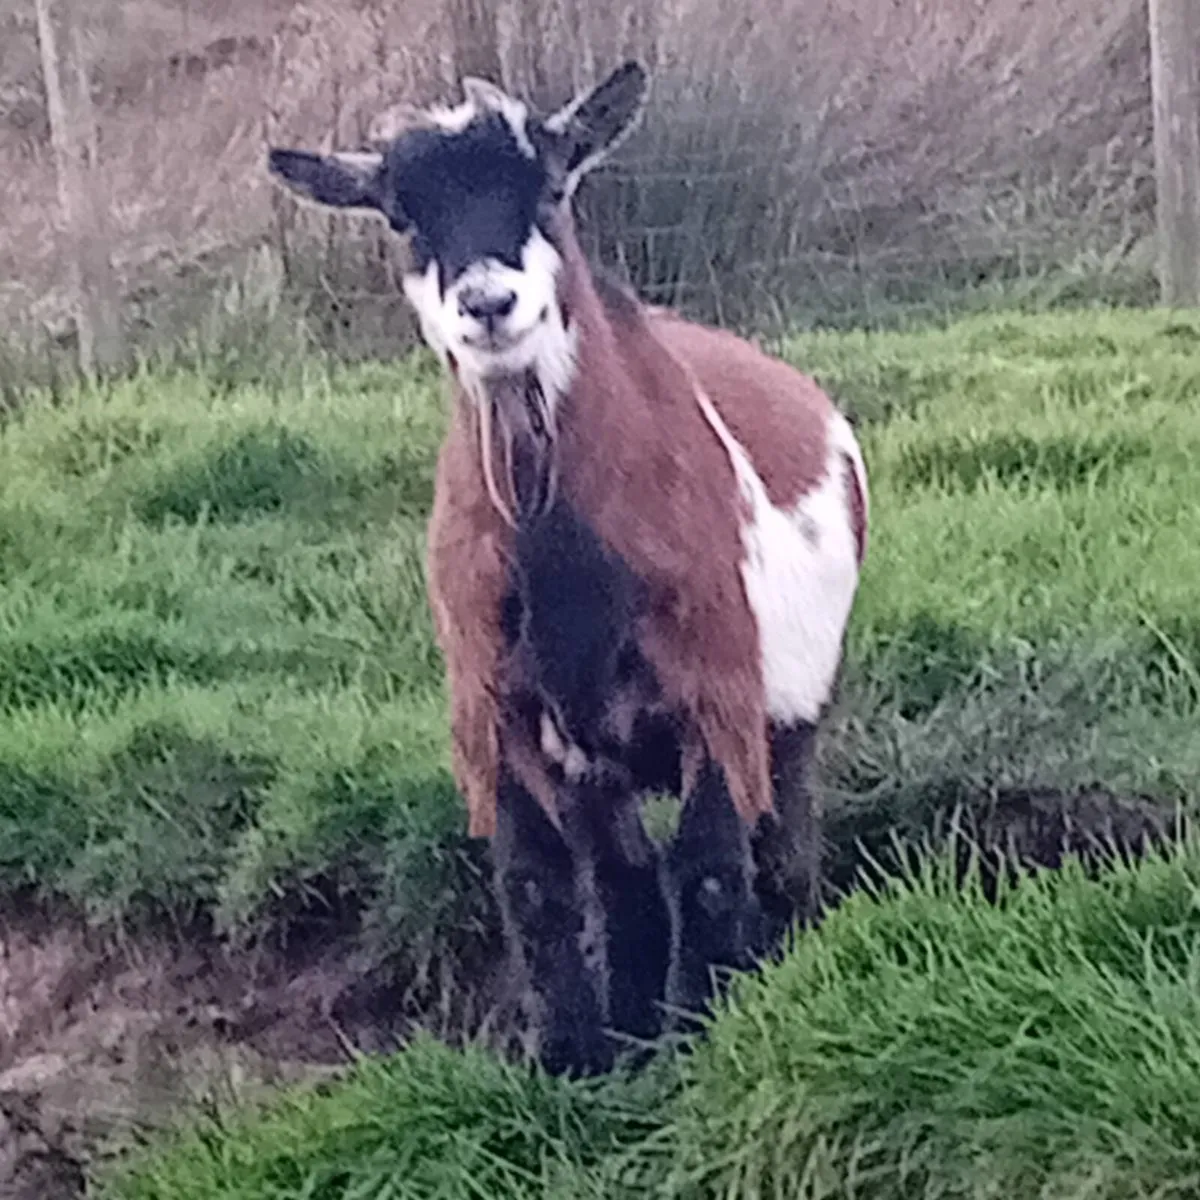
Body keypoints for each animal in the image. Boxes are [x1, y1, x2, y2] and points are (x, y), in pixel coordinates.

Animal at [267, 61, 869, 1077]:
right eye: (401, 217)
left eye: (550, 190)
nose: (486, 304)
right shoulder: (495, 709)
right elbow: (537, 885)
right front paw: (571, 1061)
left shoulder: (717, 689)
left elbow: (709, 869)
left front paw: (698, 1037)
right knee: (622, 875)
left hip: (793, 707)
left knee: (779, 846)